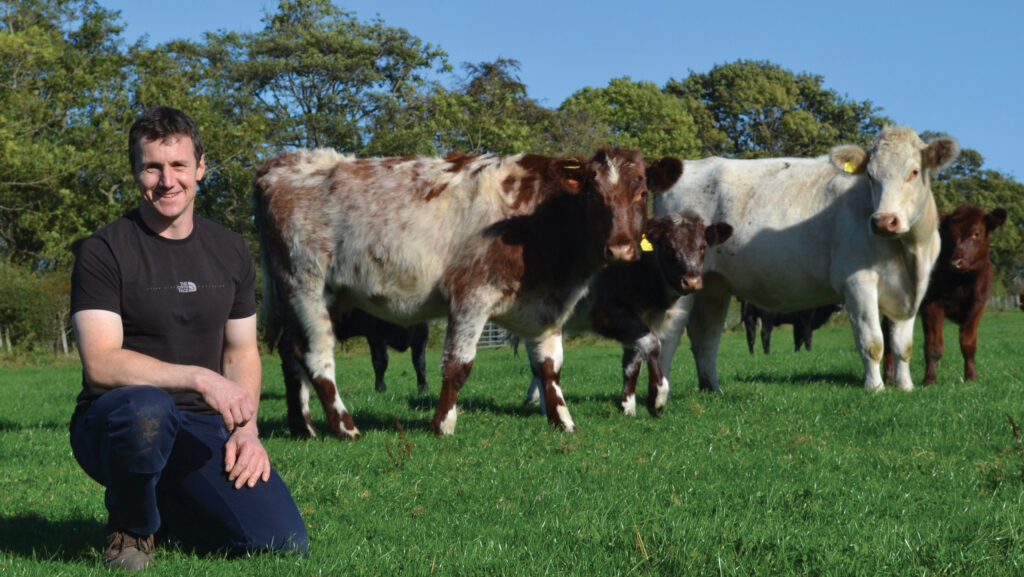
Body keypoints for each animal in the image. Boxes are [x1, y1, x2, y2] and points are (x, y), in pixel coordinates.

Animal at [252, 147, 684, 438]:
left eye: (642, 193)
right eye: (594, 195)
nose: (620, 249)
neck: (538, 218)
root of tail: (281, 162)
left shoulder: (546, 308)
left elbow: (550, 368)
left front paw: (563, 421)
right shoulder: (471, 295)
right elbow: (458, 365)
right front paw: (443, 424)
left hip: (303, 298)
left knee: (291, 355)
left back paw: (303, 426)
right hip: (306, 287)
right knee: (316, 357)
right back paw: (345, 428)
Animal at [528, 210, 737, 418]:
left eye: (702, 247)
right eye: (668, 247)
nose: (692, 281)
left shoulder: (641, 321)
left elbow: (632, 364)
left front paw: (627, 407)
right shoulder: (607, 314)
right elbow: (653, 345)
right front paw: (657, 398)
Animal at [655, 127, 958, 393]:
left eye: (914, 171)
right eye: (871, 176)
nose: (884, 221)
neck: (909, 253)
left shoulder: (911, 292)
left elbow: (903, 346)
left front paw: (906, 387)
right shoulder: (857, 282)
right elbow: (872, 342)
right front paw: (876, 388)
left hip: (712, 285)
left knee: (704, 335)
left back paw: (713, 389)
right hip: (677, 280)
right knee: (669, 335)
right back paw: (663, 392)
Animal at [880, 201, 1007, 383]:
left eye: (977, 233)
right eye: (950, 235)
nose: (956, 262)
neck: (961, 283)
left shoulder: (977, 306)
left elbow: (968, 344)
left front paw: (971, 376)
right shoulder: (932, 306)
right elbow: (934, 346)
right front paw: (929, 380)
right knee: (887, 335)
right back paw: (888, 377)